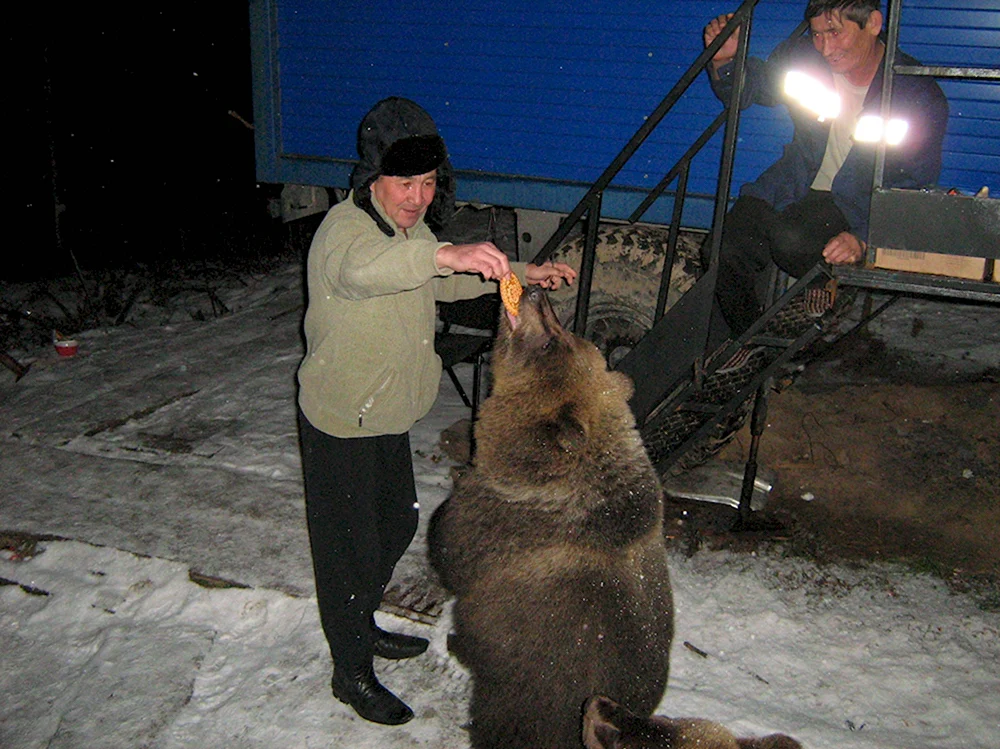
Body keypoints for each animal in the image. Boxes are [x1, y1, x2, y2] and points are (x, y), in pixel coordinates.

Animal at [428, 284, 672, 748]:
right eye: (567, 329)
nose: (536, 291)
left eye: (550, 342)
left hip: (516, 701)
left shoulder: (496, 522)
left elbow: (450, 548)